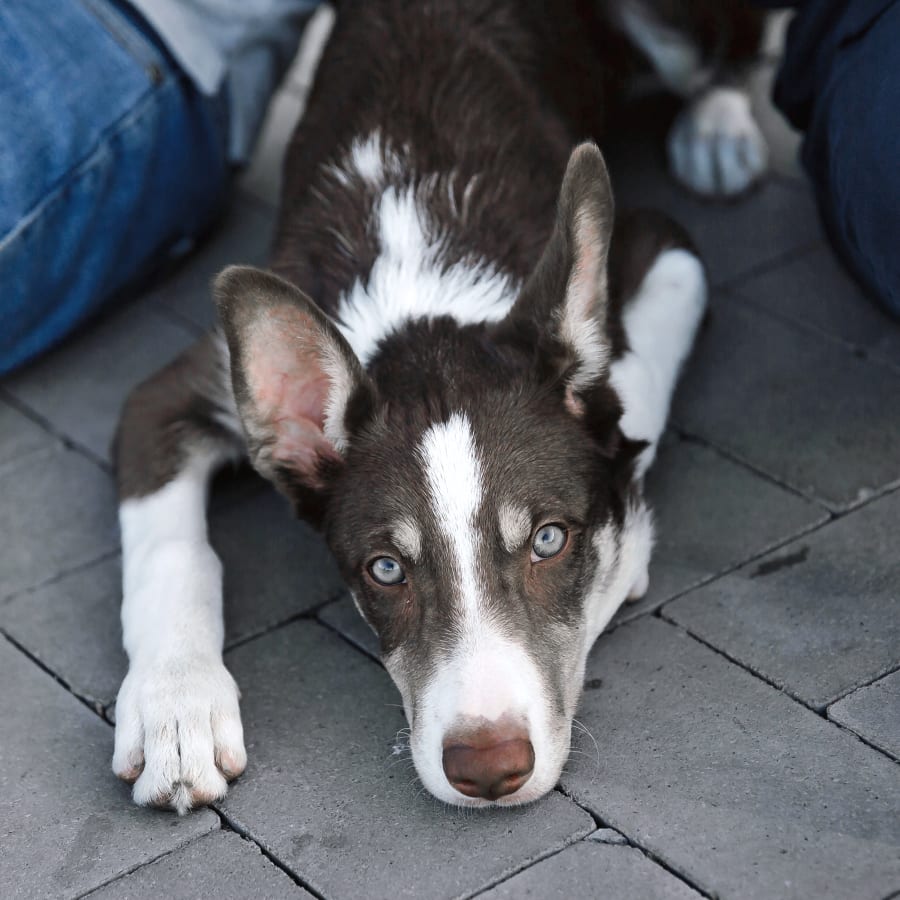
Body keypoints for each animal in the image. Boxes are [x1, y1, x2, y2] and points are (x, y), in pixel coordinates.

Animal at [110, 0, 768, 812]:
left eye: (550, 539)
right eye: (386, 569)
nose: (489, 769)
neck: (421, 273)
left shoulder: (667, 249)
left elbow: (627, 391)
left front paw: (625, 544)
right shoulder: (172, 394)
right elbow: (170, 552)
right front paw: (176, 709)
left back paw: (719, 129)